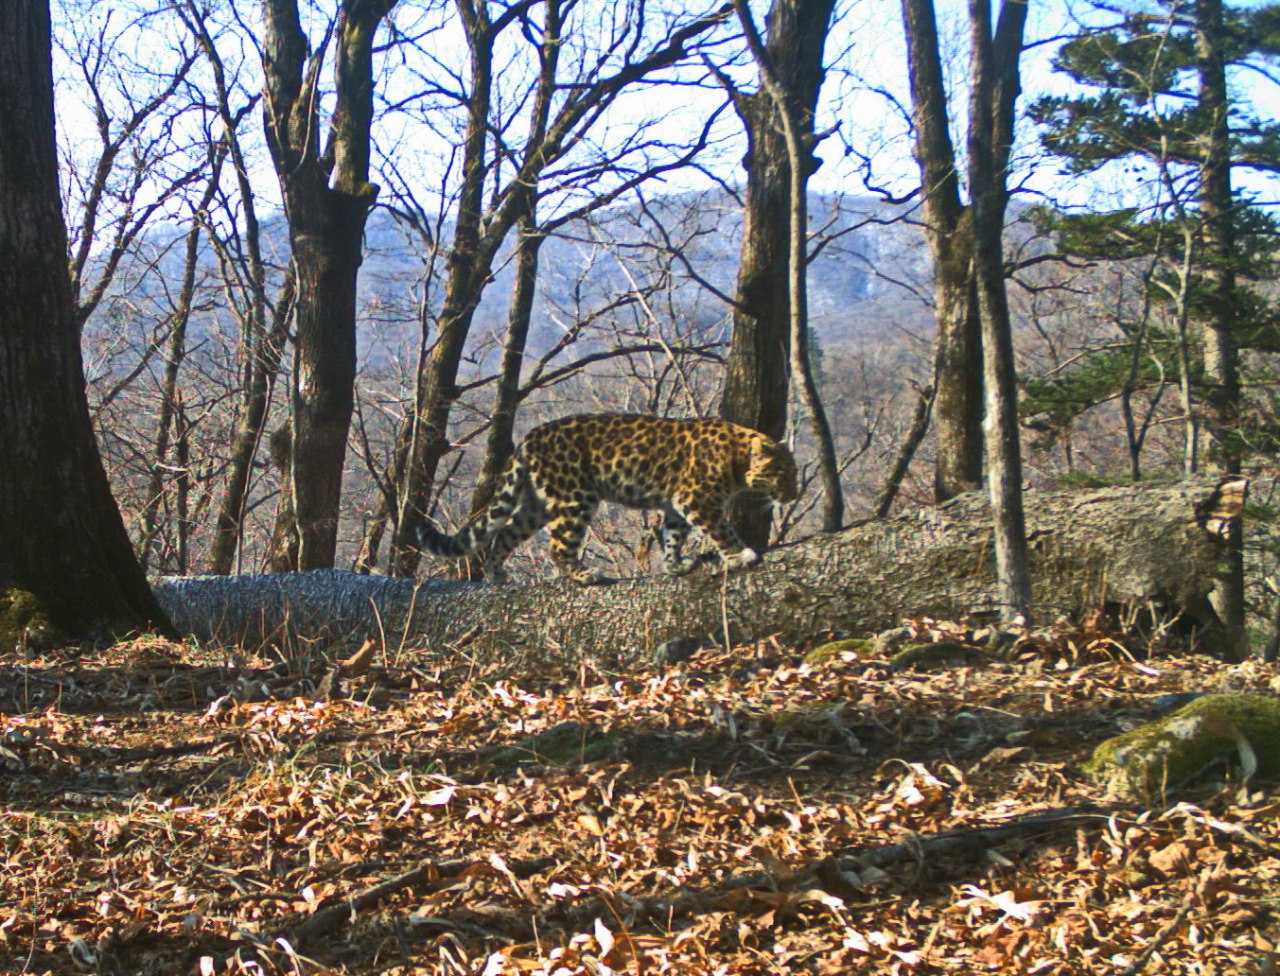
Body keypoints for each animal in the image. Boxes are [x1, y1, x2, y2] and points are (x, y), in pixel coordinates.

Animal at [414, 412, 793, 586]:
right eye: (782, 471)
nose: (792, 494)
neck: (739, 458)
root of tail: (529, 438)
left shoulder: (676, 503)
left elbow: (673, 535)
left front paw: (675, 565)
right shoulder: (696, 497)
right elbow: (720, 528)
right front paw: (741, 554)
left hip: (536, 504)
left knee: (505, 533)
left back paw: (497, 576)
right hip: (574, 497)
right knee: (558, 546)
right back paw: (584, 575)